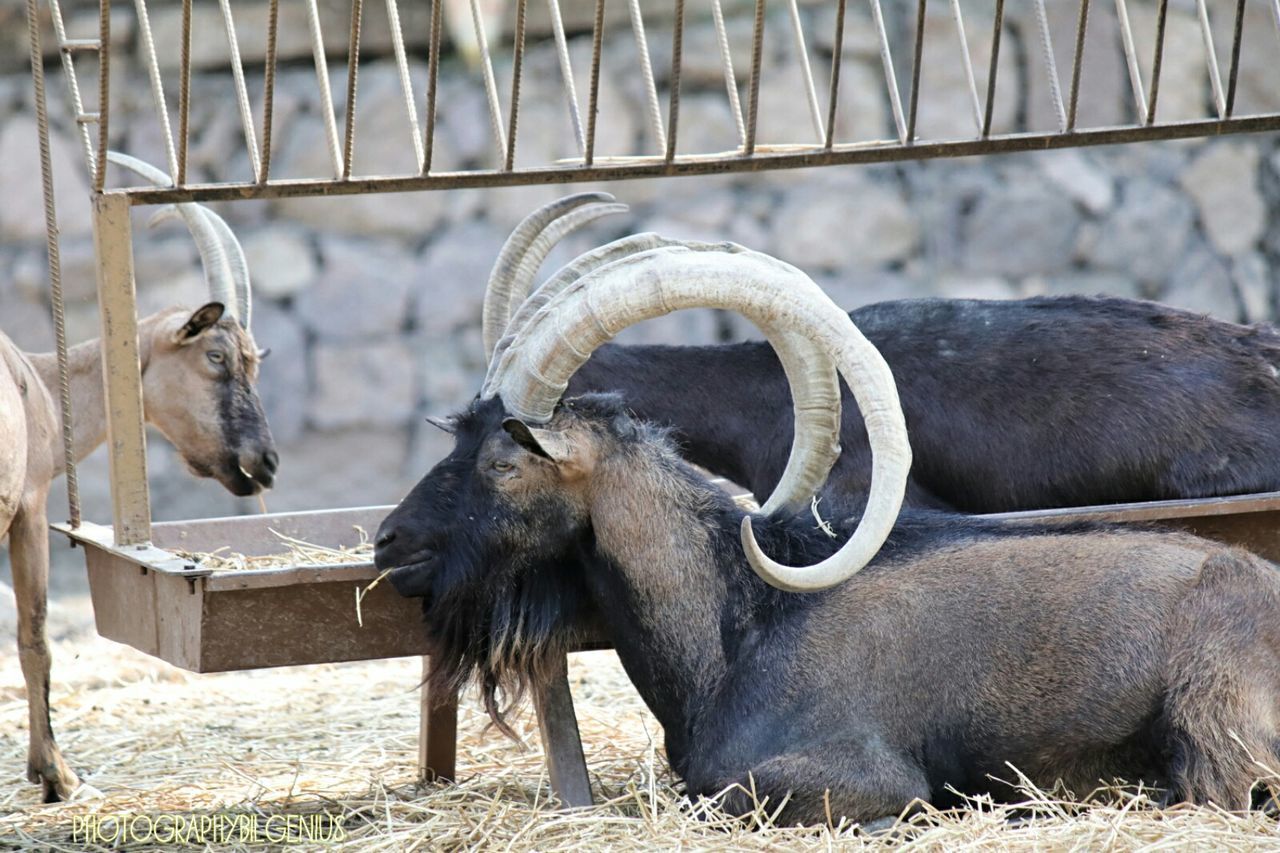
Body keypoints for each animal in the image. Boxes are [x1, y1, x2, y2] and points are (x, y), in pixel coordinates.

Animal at [0, 153, 279, 799]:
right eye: (215, 356)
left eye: (255, 361)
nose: (264, 463)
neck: (37, 381)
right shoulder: (29, 505)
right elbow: (35, 636)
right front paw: (57, 774)